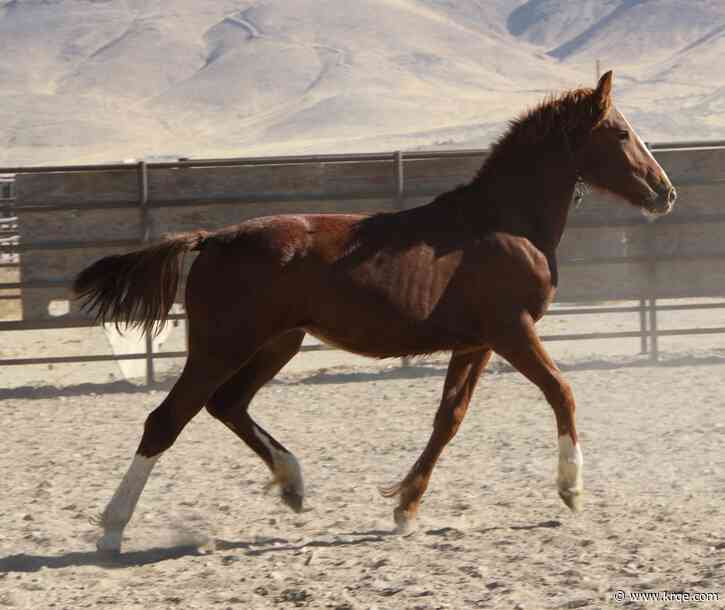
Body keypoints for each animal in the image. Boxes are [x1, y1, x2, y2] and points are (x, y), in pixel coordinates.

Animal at [73, 71, 672, 552]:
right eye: (621, 133)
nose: (665, 192)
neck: (505, 223)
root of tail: (214, 238)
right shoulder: (511, 330)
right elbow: (561, 392)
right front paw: (571, 489)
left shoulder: (475, 343)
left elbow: (448, 419)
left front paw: (405, 508)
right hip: (224, 344)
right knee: (167, 419)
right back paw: (112, 530)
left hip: (278, 342)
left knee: (228, 405)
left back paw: (293, 484)